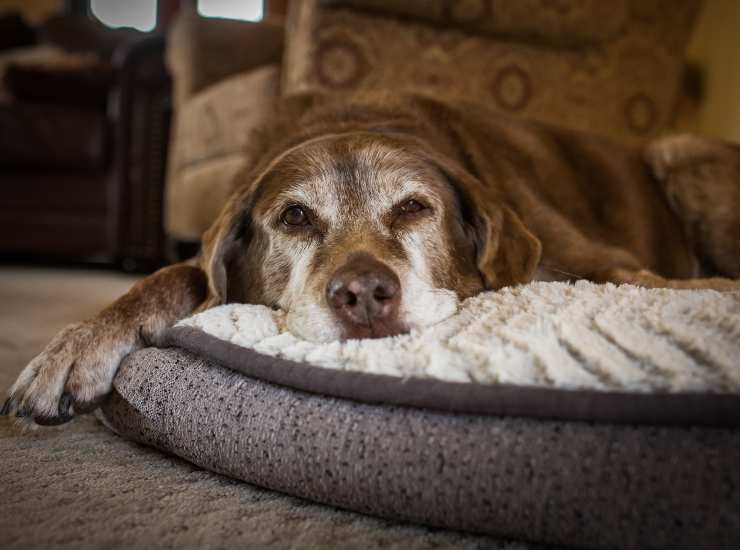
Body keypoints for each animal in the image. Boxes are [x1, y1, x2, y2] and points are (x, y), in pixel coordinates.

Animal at [4, 94, 740, 426]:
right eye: (295, 217)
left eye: (415, 207)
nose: (363, 294)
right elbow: (178, 276)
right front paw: (82, 343)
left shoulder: (604, 261)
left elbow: (657, 283)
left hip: (677, 153)